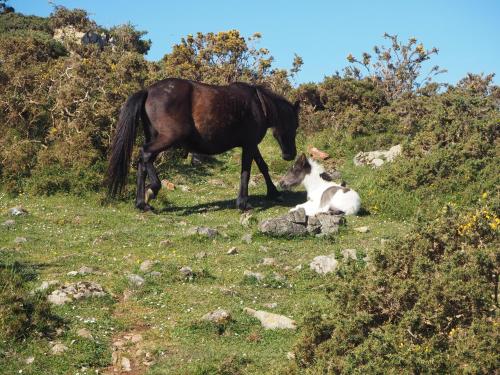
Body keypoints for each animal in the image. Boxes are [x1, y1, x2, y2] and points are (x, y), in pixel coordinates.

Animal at [107, 78, 298, 212]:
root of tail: (148, 90)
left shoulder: (251, 145)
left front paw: (273, 192)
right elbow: (246, 172)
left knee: (143, 163)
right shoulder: (249, 145)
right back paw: (153, 189)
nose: (290, 154)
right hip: (168, 139)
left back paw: (141, 203)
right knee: (145, 155)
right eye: (295, 125)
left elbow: (263, 166)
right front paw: (243, 203)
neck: (259, 104)